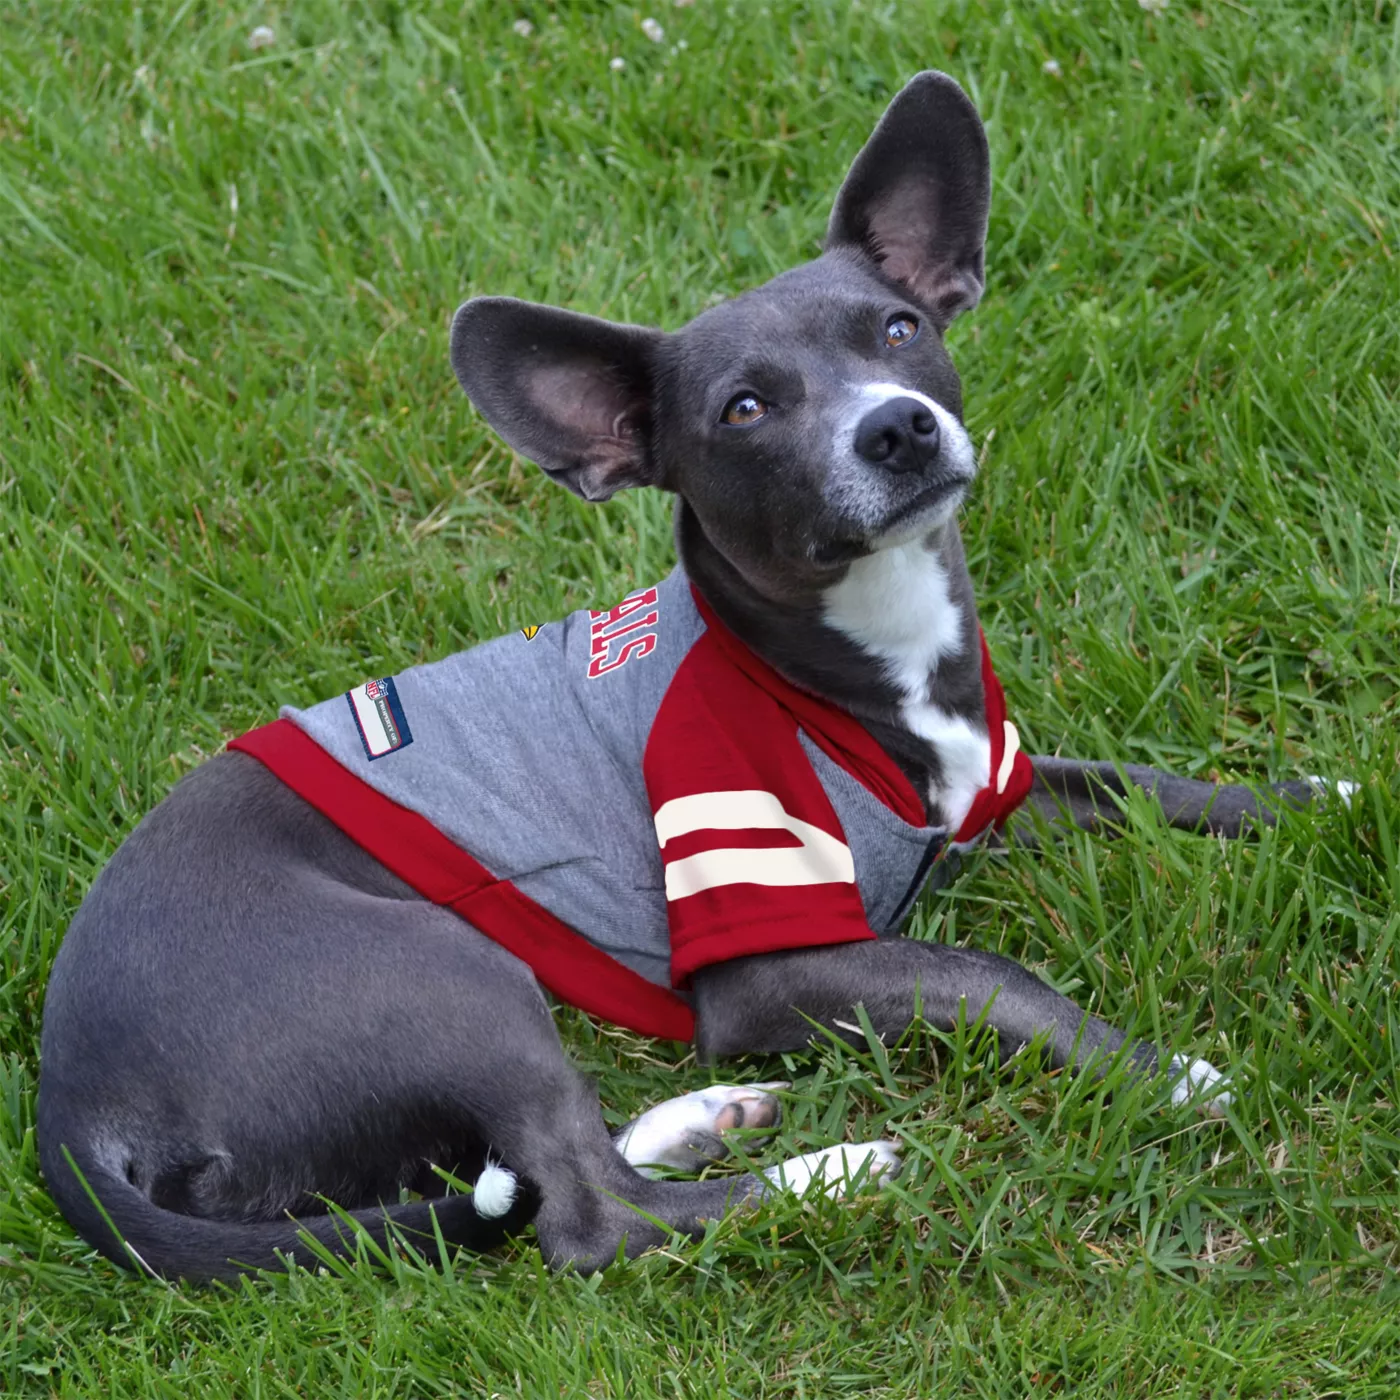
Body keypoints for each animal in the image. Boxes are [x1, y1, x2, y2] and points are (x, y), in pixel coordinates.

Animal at [35, 73, 1332, 1282]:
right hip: (446, 972)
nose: (896, 427)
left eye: (897, 329)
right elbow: (988, 973)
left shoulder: (995, 783)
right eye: (743, 408)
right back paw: (832, 1166)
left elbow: (1143, 781)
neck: (850, 659)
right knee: (586, 1215)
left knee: (552, 1162)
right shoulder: (771, 959)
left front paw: (1313, 804)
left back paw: (700, 1119)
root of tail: (70, 1109)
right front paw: (1159, 1073)